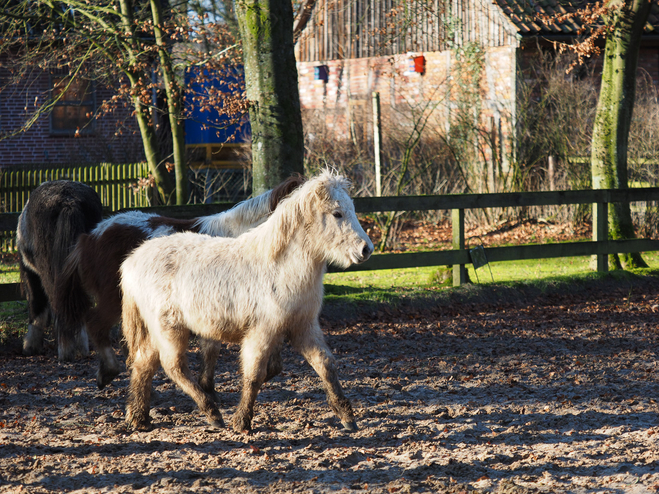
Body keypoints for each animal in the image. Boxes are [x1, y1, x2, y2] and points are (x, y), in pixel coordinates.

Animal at [120, 171, 374, 432]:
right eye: (337, 213)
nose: (367, 249)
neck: (279, 268)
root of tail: (132, 260)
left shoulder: (303, 327)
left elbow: (325, 365)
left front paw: (347, 417)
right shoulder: (261, 332)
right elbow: (254, 375)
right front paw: (242, 421)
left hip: (156, 330)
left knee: (144, 362)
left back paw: (139, 418)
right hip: (170, 329)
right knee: (174, 366)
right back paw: (212, 412)